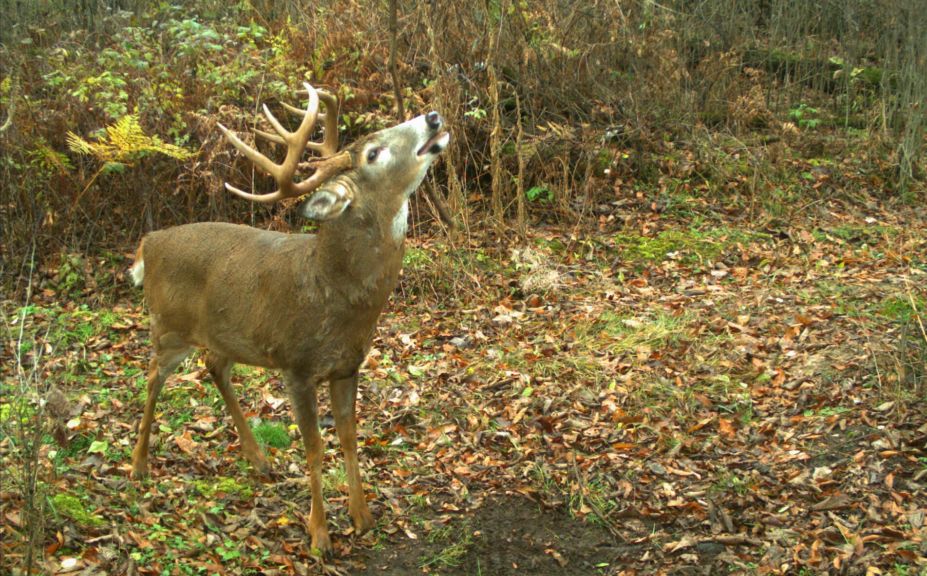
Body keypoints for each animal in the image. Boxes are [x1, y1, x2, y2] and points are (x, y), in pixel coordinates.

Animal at [130, 83, 450, 556]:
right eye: (373, 153)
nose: (432, 117)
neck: (333, 289)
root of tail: (148, 243)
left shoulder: (347, 365)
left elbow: (349, 437)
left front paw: (362, 517)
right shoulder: (296, 366)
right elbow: (314, 447)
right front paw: (320, 535)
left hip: (225, 335)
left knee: (213, 365)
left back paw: (258, 458)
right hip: (167, 325)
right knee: (153, 376)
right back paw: (139, 464)